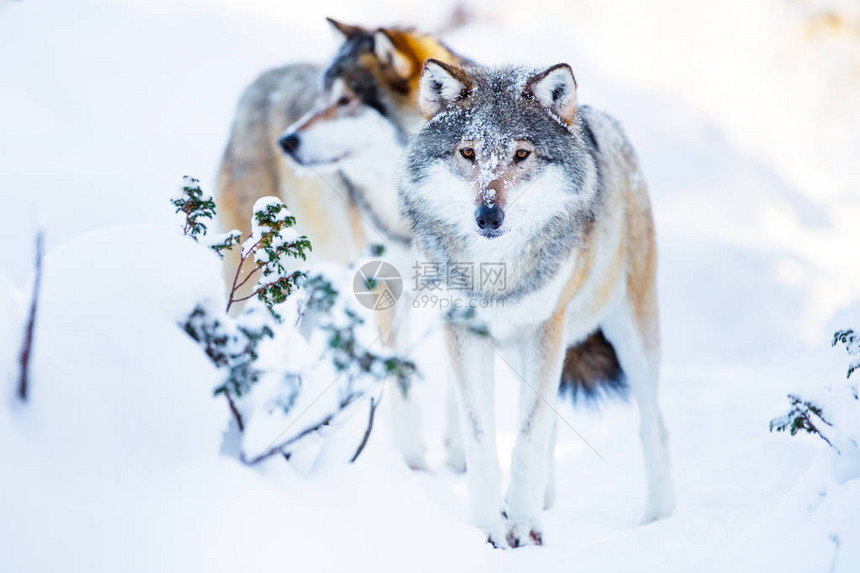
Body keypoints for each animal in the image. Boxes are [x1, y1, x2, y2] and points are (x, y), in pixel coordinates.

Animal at [215, 20, 470, 472]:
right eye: (322, 98)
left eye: (346, 99)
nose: (286, 141)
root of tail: (259, 83)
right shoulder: (388, 294)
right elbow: (400, 380)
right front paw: (413, 465)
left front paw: (460, 464)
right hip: (251, 282)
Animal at [400, 60, 676, 548]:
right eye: (468, 153)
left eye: (521, 155)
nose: (488, 216)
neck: (497, 272)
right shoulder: (465, 332)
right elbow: (482, 441)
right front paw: (489, 528)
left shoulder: (547, 327)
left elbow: (527, 440)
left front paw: (524, 526)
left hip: (628, 333)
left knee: (652, 425)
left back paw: (657, 521)